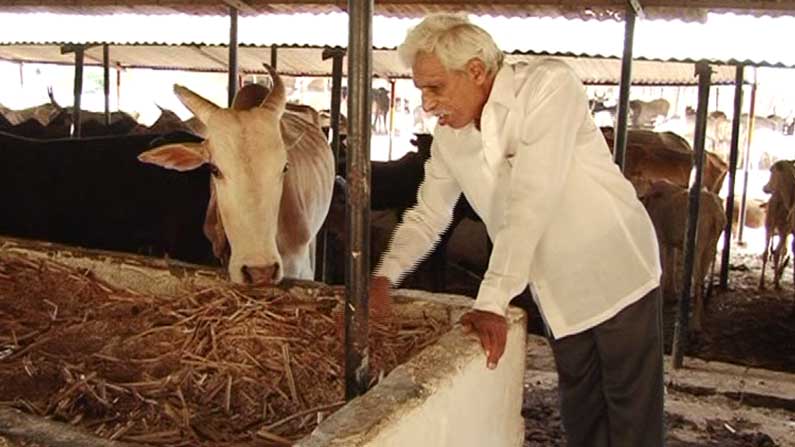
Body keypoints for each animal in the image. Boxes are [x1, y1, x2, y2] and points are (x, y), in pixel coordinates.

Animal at [640, 180, 726, 332]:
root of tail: (715, 214)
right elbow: (671, 262)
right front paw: (672, 296)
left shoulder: (660, 234)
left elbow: (664, 265)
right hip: (712, 243)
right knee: (702, 274)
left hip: (699, 238)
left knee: (697, 279)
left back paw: (694, 325)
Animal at [759, 160, 795, 291]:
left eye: (771, 170)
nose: (764, 187)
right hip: (781, 229)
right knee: (778, 252)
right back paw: (776, 282)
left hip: (769, 225)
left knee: (768, 253)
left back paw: (763, 283)